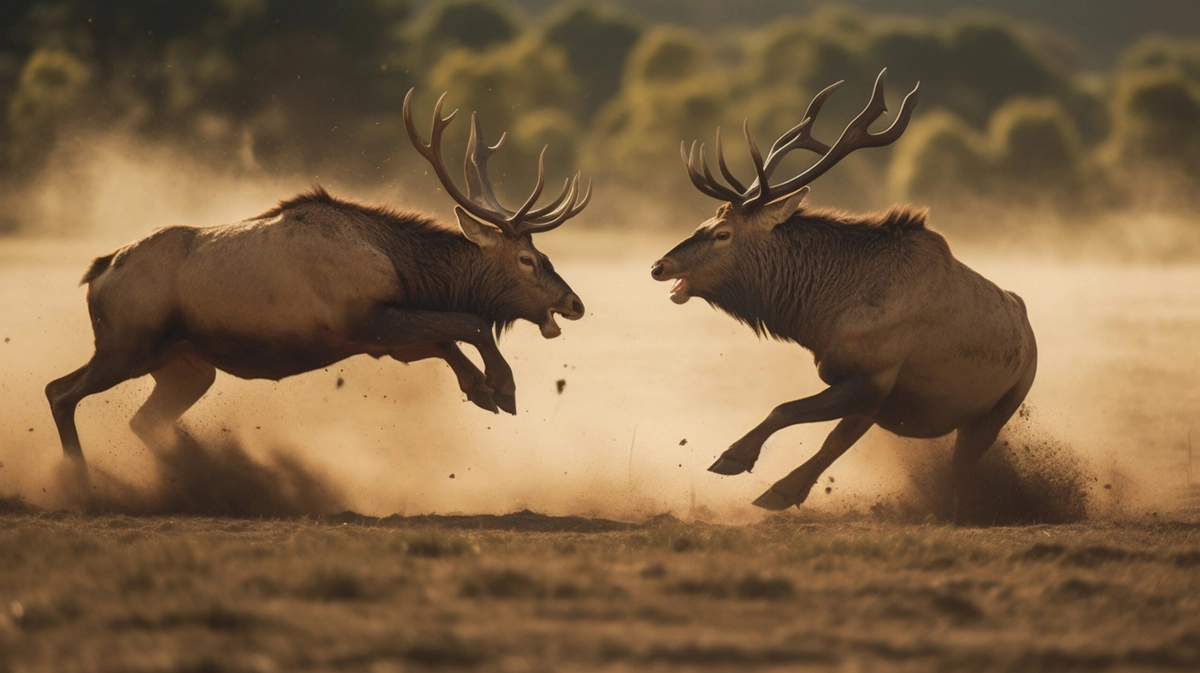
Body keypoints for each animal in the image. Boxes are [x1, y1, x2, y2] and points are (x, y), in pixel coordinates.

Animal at [46, 90, 590, 467]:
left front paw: (480, 388)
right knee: (60, 392)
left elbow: (447, 338)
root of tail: (97, 275)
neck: (406, 268)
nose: (575, 303)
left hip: (184, 366)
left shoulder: (387, 339)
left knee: (139, 421)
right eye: (528, 259)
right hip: (127, 344)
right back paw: (83, 480)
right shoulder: (362, 318)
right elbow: (467, 323)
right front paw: (503, 387)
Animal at [652, 68, 1036, 508]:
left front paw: (733, 456)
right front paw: (769, 481)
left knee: (961, 461)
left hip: (1002, 405)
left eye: (722, 234)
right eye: (705, 223)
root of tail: (1028, 332)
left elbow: (785, 410)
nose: (659, 266)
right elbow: (827, 436)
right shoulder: (867, 389)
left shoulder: (873, 377)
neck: (819, 317)